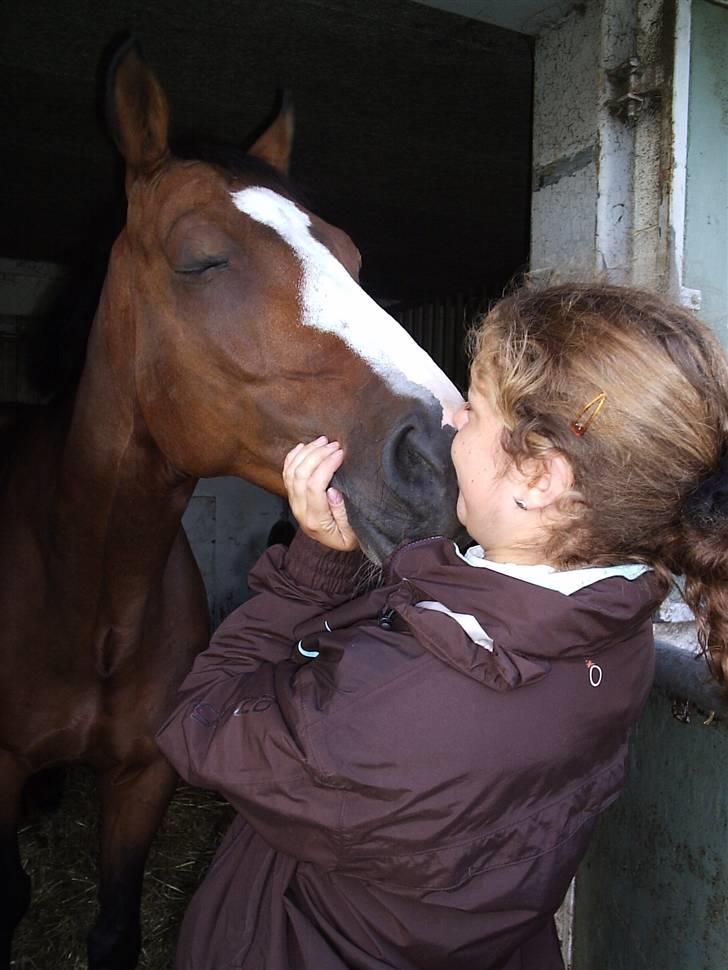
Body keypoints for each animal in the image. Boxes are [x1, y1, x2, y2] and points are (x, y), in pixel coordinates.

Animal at [0, 37, 464, 968]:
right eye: (201, 260)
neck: (89, 595)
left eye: (354, 258)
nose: (437, 456)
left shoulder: (144, 777)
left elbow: (114, 932)